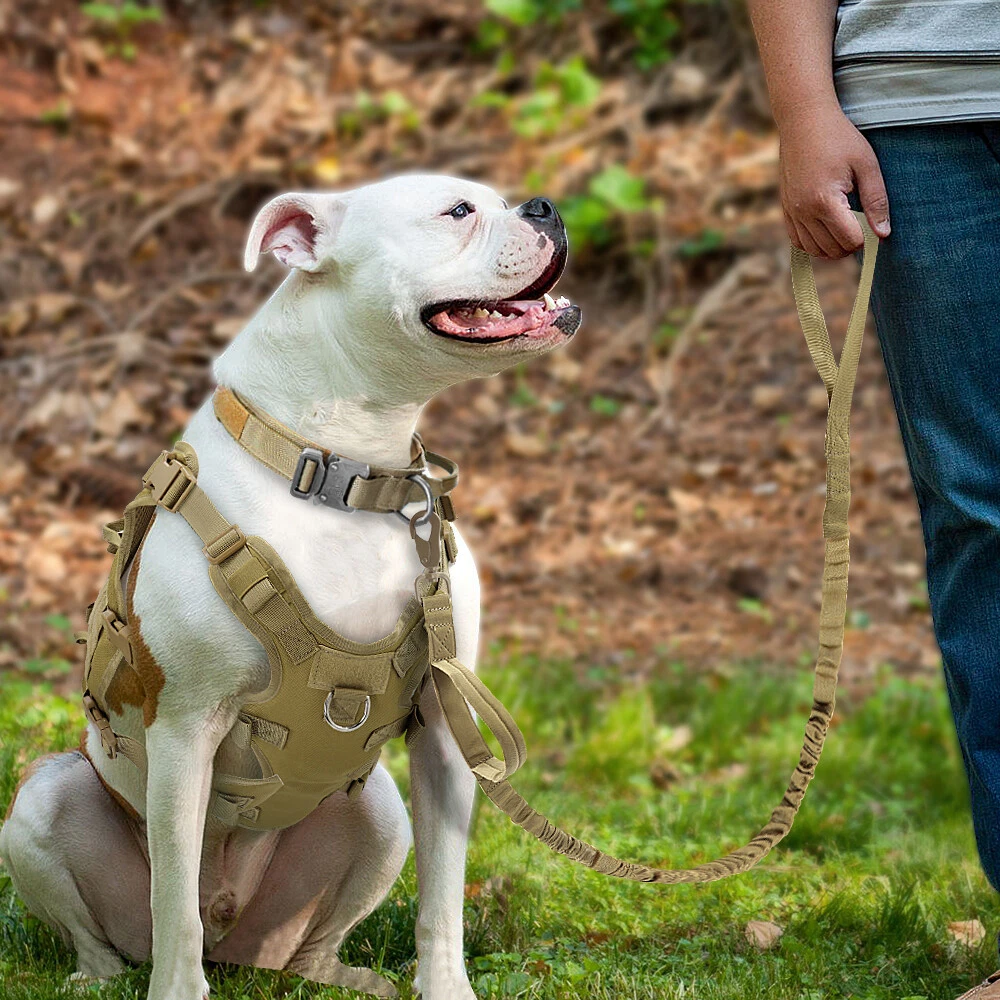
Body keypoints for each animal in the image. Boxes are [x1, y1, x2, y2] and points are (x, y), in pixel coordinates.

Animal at [0, 176, 584, 996]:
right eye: (458, 212)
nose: (546, 208)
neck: (345, 474)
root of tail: (236, 934)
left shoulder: (445, 730)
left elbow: (443, 896)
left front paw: (445, 988)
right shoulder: (186, 728)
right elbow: (173, 902)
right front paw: (177, 991)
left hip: (379, 817)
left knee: (313, 939)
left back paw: (340, 975)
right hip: (44, 802)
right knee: (128, 929)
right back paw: (100, 976)